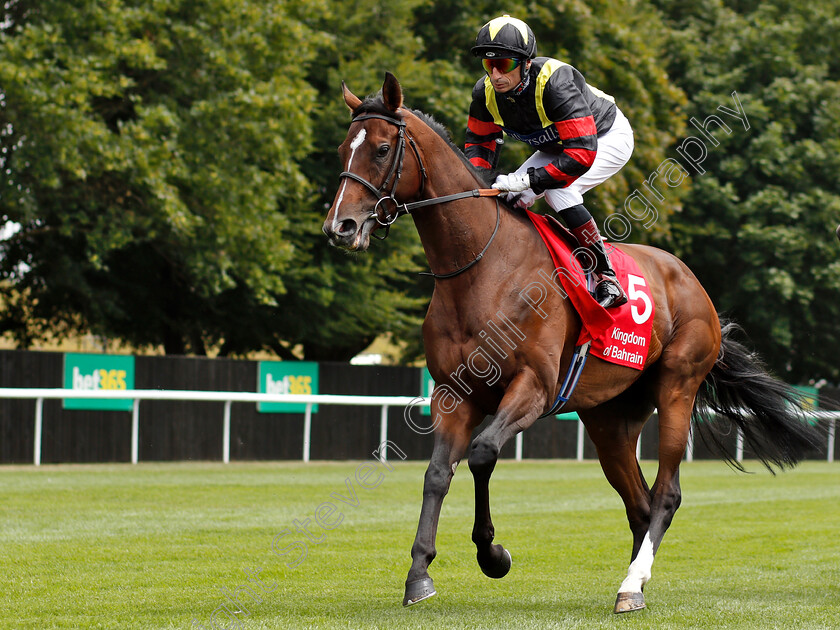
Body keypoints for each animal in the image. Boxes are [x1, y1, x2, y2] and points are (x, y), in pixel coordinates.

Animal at [322, 73, 820, 612]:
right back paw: (634, 582)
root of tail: (692, 283)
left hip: (677, 388)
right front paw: (419, 574)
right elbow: (437, 474)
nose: (340, 227)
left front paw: (493, 555)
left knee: (666, 493)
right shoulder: (453, 394)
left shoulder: (534, 388)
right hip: (609, 419)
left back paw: (631, 584)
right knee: (640, 503)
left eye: (381, 149)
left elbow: (482, 453)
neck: (482, 268)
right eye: (342, 150)